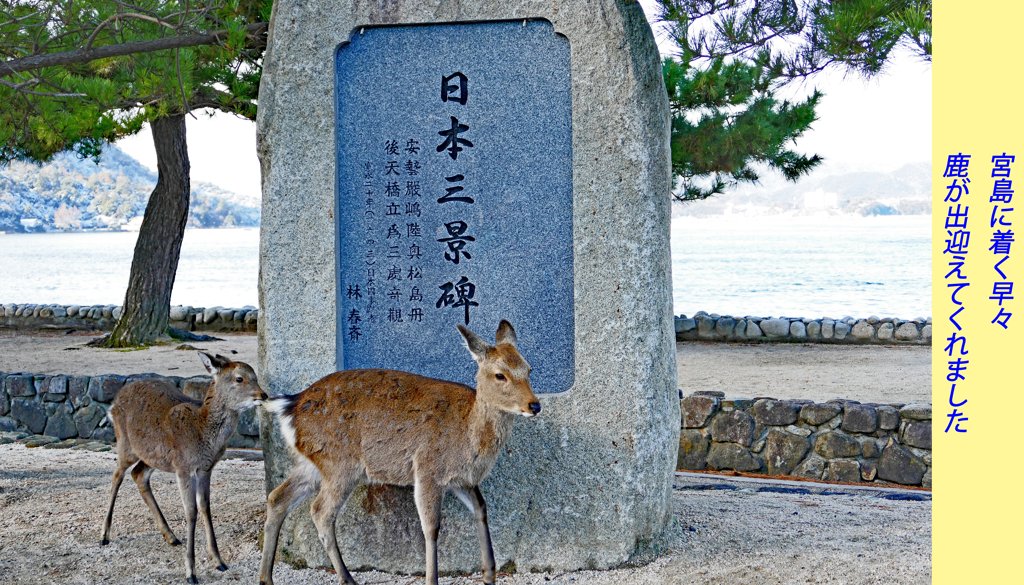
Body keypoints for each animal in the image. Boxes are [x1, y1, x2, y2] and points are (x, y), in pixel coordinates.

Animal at [98, 350, 268, 581]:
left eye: (256, 376)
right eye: (239, 378)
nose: (263, 395)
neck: (202, 431)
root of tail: (112, 403)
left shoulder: (206, 469)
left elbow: (205, 507)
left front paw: (219, 561)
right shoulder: (184, 468)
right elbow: (191, 511)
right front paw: (191, 572)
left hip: (152, 457)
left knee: (138, 475)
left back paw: (171, 536)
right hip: (125, 444)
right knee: (117, 475)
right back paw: (104, 535)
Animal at [260, 319, 540, 585]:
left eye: (529, 369)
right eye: (500, 375)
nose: (534, 405)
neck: (470, 438)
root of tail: (290, 406)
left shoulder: (462, 480)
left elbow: (481, 509)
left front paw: (489, 575)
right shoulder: (428, 469)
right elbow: (431, 527)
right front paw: (432, 579)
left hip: (311, 462)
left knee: (277, 498)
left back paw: (266, 577)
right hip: (340, 464)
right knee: (320, 511)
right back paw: (347, 578)